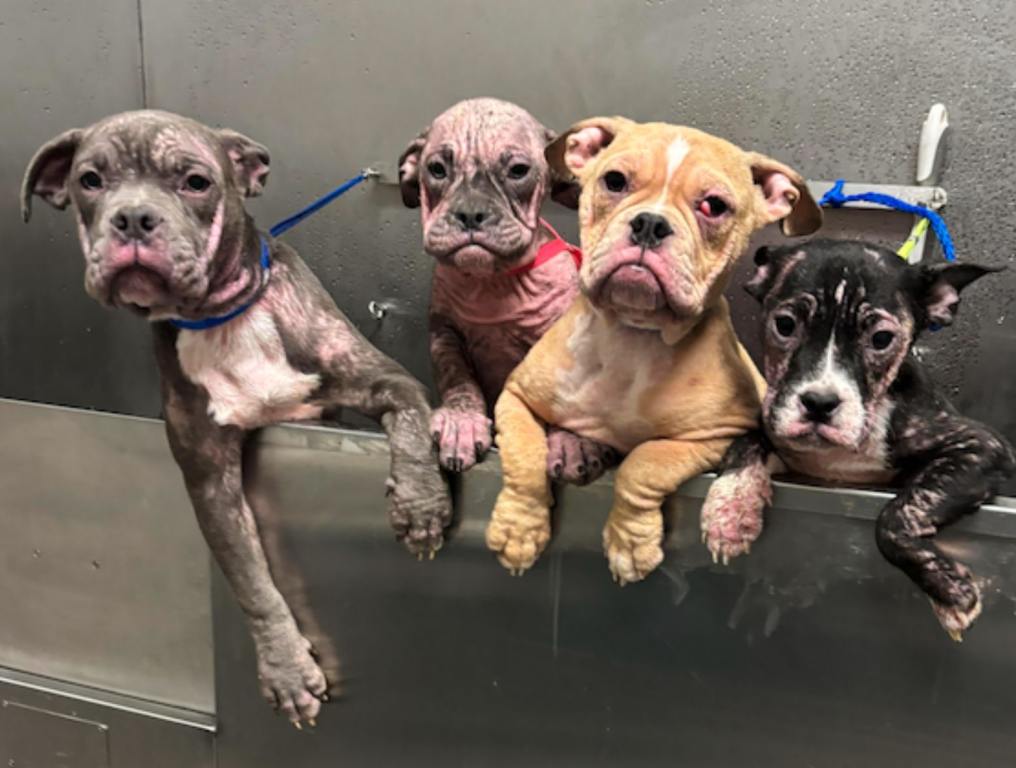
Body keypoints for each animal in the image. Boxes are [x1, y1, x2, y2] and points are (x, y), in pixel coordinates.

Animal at [21, 108, 451, 727]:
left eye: (196, 182)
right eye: (90, 180)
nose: (133, 217)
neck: (223, 316)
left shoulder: (381, 380)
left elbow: (412, 419)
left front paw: (420, 507)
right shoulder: (210, 481)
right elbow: (250, 578)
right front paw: (286, 669)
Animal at [398, 96, 617, 479]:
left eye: (518, 171)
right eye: (437, 169)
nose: (470, 214)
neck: (494, 281)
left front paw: (573, 441)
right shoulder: (445, 336)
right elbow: (459, 381)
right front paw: (461, 422)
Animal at [479, 116, 820, 577]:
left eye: (714, 206)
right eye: (614, 181)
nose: (649, 224)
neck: (633, 334)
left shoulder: (716, 435)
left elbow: (645, 463)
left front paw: (629, 543)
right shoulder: (516, 398)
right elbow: (523, 455)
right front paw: (519, 529)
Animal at [703, 236, 1011, 637]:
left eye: (881, 339)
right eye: (784, 325)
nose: (819, 403)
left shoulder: (982, 448)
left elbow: (896, 517)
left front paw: (948, 590)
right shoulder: (776, 431)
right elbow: (744, 442)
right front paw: (730, 511)